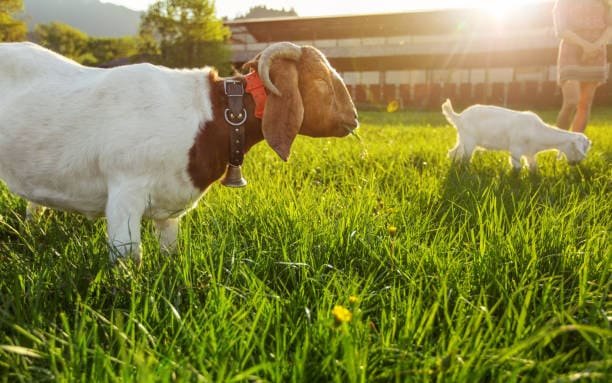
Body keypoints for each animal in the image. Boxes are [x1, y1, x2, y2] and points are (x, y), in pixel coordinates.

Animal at [0, 42, 358, 264]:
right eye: (321, 80)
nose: (354, 118)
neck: (212, 117)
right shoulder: (125, 191)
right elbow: (128, 258)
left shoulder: (169, 206)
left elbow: (169, 251)